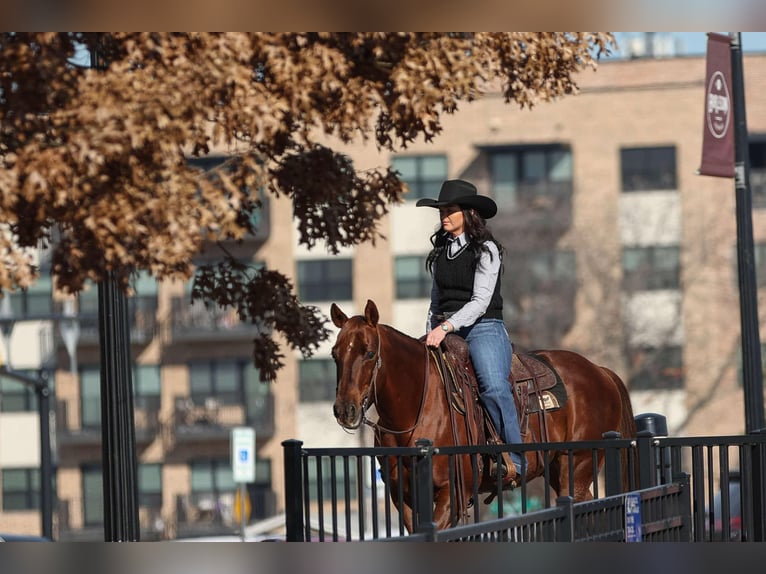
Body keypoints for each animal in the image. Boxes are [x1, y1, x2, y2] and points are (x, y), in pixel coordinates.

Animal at [330, 302, 636, 536]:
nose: (345, 409)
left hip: (578, 467)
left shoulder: (452, 495)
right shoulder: (403, 497)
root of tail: (600, 371)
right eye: (335, 354)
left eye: (369, 353)